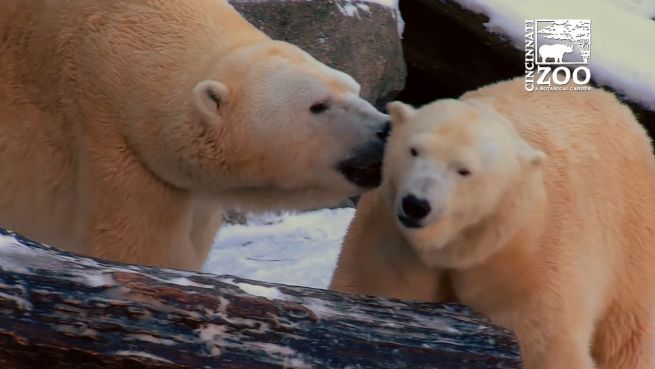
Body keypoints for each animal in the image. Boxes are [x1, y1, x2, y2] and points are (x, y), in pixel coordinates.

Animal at [330, 77, 655, 368]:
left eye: (464, 170)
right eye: (414, 150)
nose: (416, 204)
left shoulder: (533, 259)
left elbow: (543, 346)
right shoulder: (389, 239)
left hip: (631, 241)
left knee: (627, 336)